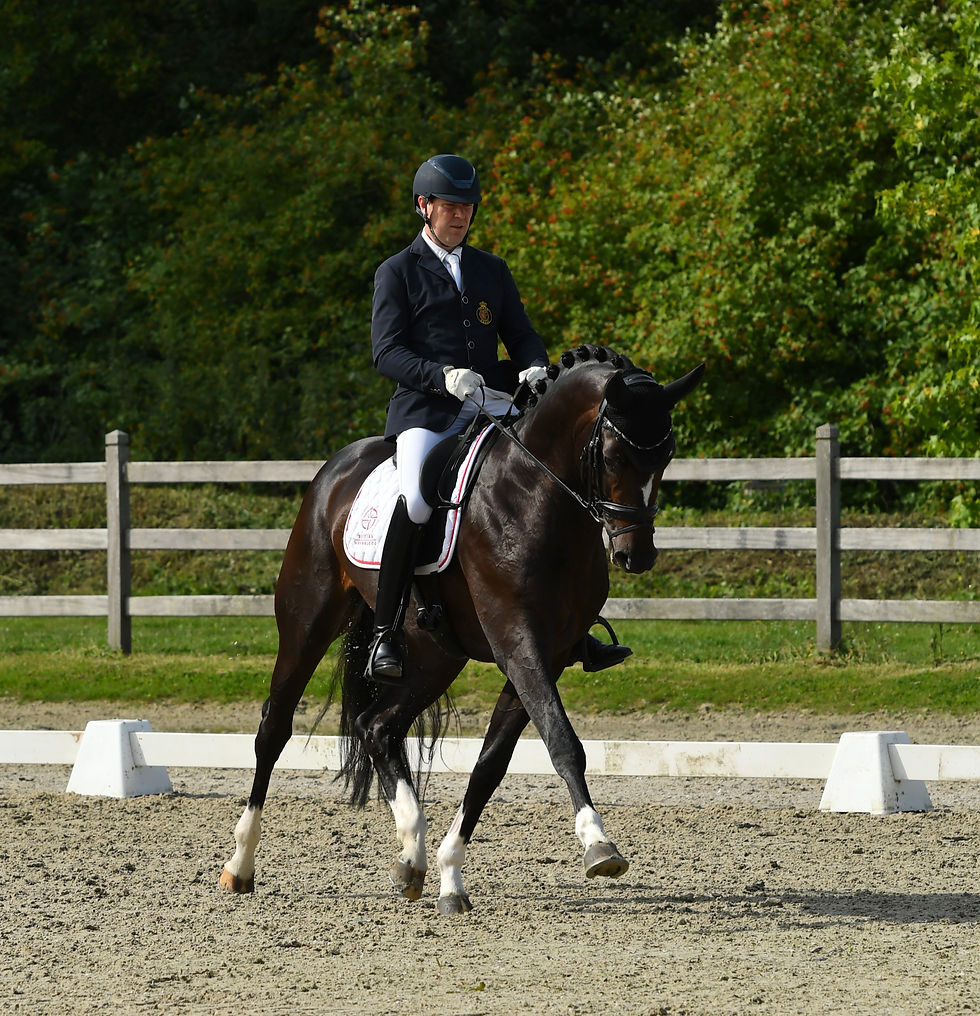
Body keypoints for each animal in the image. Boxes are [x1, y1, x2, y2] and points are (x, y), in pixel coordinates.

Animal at [220, 344, 704, 914]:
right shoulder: (518, 641)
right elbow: (563, 741)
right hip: (307, 622)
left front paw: (451, 876)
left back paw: (411, 856)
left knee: (377, 726)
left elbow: (492, 763)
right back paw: (240, 864)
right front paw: (598, 844)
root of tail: (335, 469)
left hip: (435, 655)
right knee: (274, 728)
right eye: (611, 457)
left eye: (666, 456)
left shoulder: (547, 653)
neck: (536, 498)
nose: (636, 555)